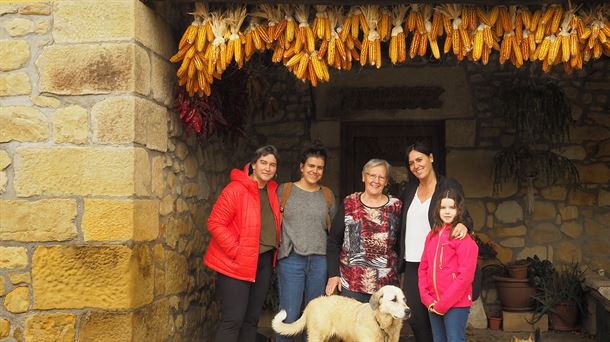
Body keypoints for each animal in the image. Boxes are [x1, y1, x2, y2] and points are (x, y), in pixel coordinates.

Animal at [270, 284, 408, 342]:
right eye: (394, 299)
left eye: (404, 299)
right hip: (317, 337)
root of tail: (311, 303)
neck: (380, 322)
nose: (409, 311)